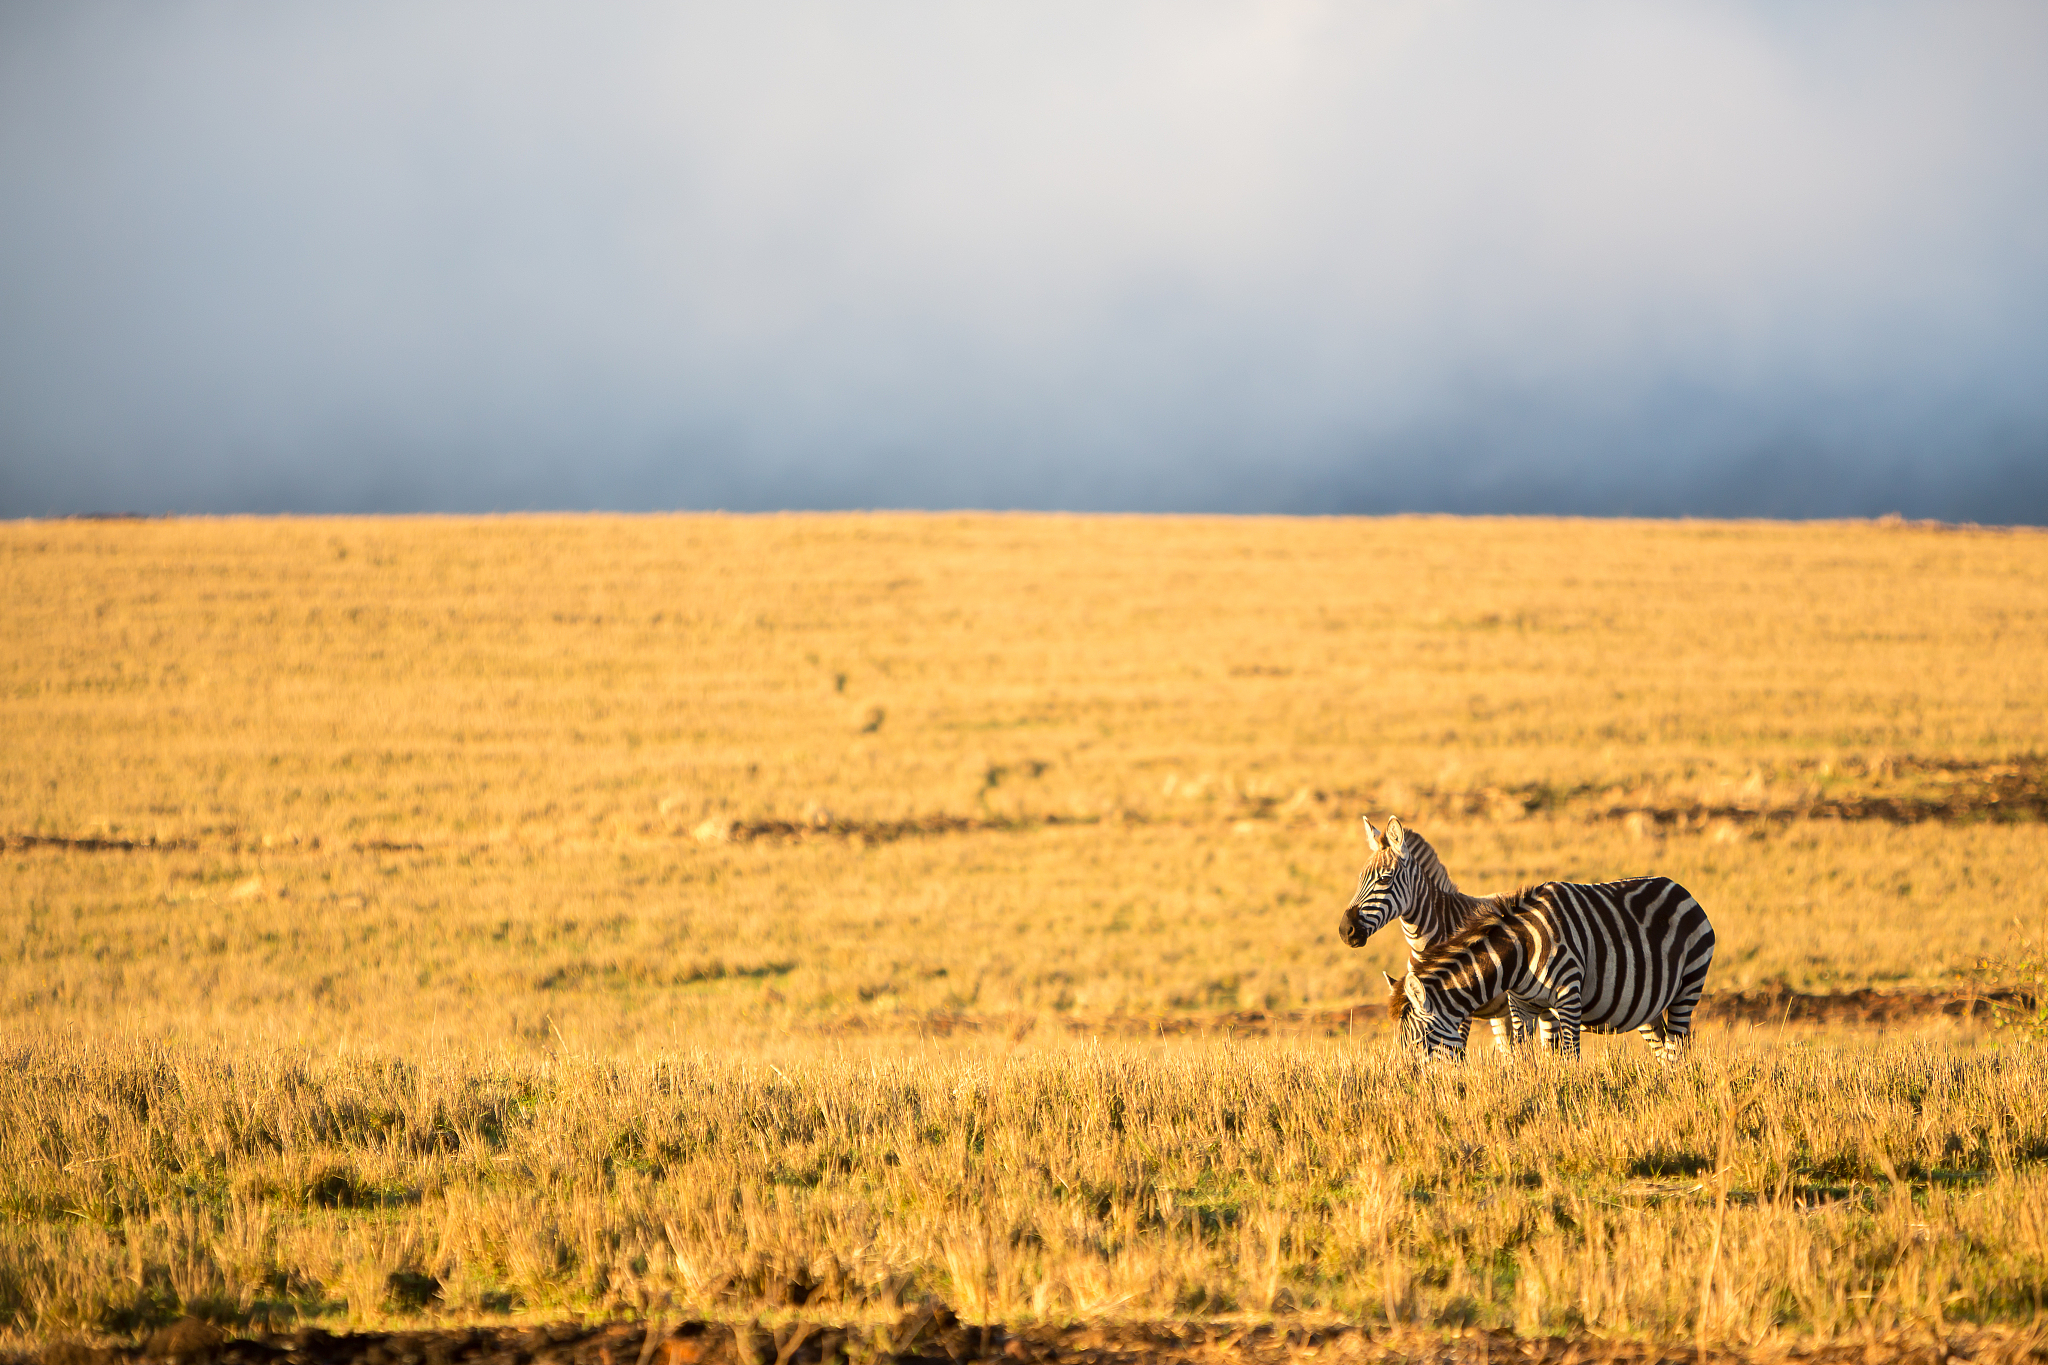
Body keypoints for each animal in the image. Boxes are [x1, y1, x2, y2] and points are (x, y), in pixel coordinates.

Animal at [1388, 875, 1715, 1061]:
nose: (1414, 1091)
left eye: (1419, 1042)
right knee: (1664, 1048)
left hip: (1689, 984)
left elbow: (1570, 1057)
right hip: (1647, 1003)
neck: (1519, 953)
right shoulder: (1521, 1005)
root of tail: (1678, 887)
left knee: (1677, 1049)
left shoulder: (1568, 997)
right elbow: (1521, 1056)